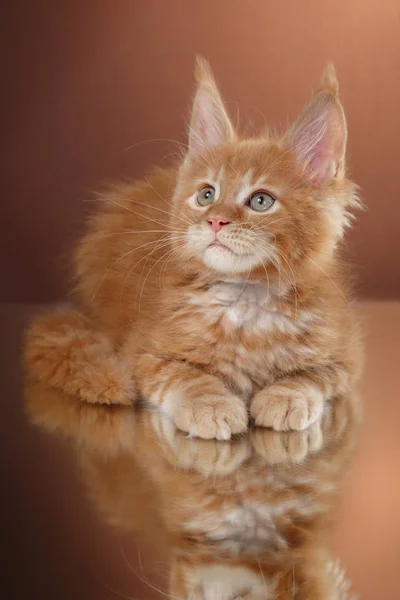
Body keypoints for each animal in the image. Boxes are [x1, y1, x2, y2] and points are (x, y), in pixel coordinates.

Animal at [25, 58, 362, 438]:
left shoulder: (345, 352)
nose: (215, 221)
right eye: (206, 195)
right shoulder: (143, 352)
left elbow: (312, 376)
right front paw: (211, 405)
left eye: (261, 201)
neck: (245, 300)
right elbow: (184, 375)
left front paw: (287, 396)